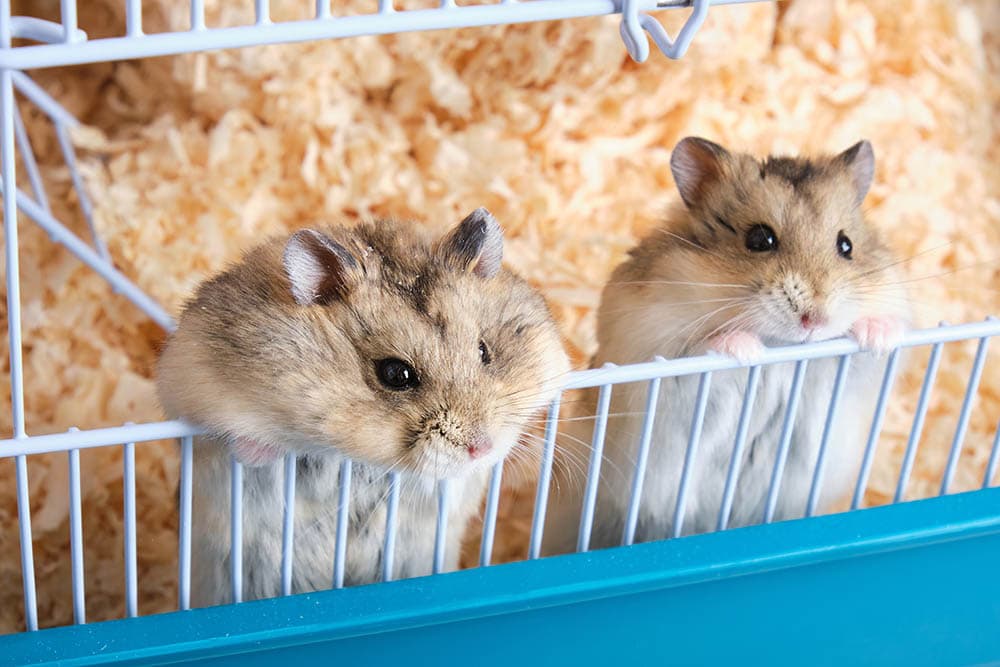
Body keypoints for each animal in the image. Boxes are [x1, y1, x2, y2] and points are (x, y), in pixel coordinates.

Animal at [543, 138, 909, 553]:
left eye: (846, 245)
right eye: (760, 239)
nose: (814, 320)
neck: (783, 347)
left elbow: (870, 349)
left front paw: (879, 336)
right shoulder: (653, 347)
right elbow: (704, 345)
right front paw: (747, 351)